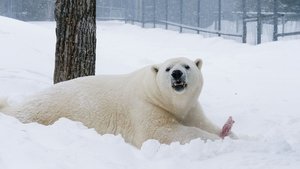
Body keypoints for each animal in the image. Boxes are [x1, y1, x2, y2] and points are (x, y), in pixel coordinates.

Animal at [0, 57, 234, 147]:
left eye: (187, 66)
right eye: (168, 68)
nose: (177, 74)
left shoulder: (191, 107)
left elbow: (202, 122)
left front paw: (227, 129)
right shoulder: (146, 106)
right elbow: (160, 132)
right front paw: (217, 138)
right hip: (44, 111)